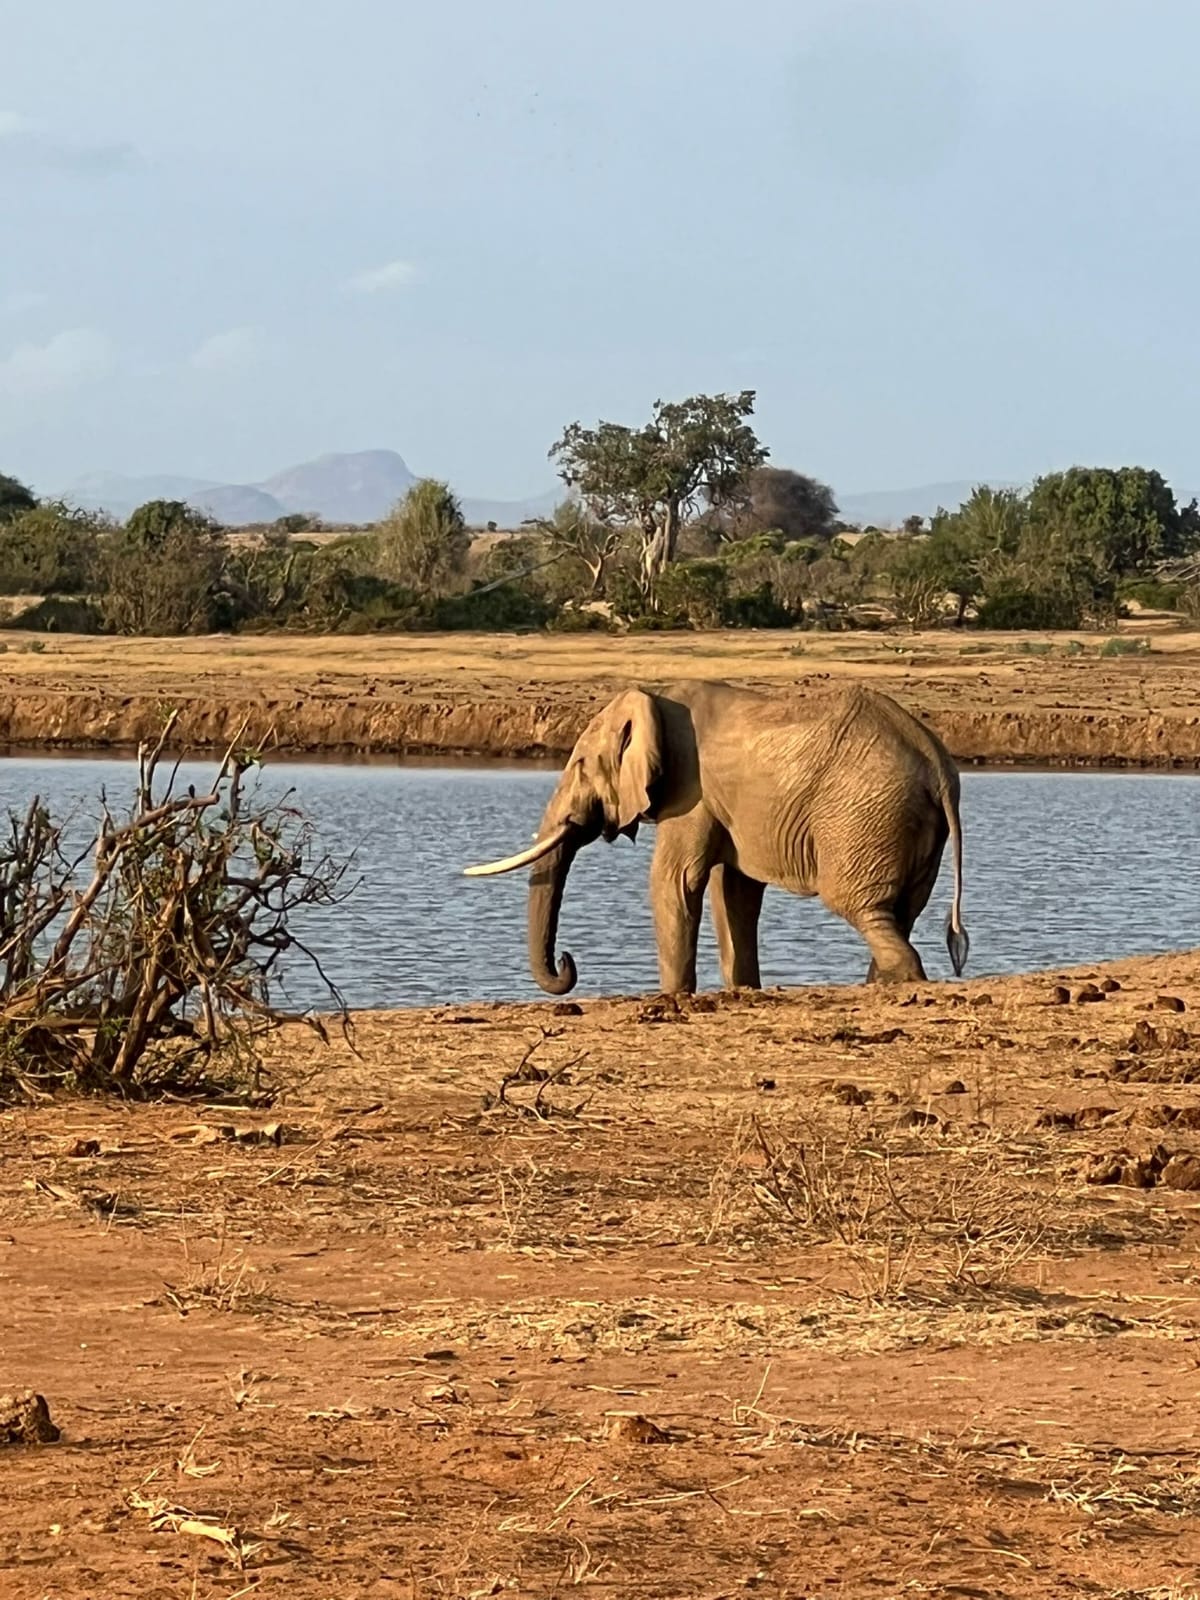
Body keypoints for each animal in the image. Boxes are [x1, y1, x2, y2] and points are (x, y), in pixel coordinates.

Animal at [464, 679, 968, 996]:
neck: (656, 697)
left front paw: (671, 996)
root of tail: (938, 765)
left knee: (856, 904)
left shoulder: (692, 791)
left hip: (863, 814)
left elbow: (676, 880)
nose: (568, 962)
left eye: (581, 766)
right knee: (899, 911)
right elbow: (734, 891)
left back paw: (900, 980)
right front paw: (743, 989)